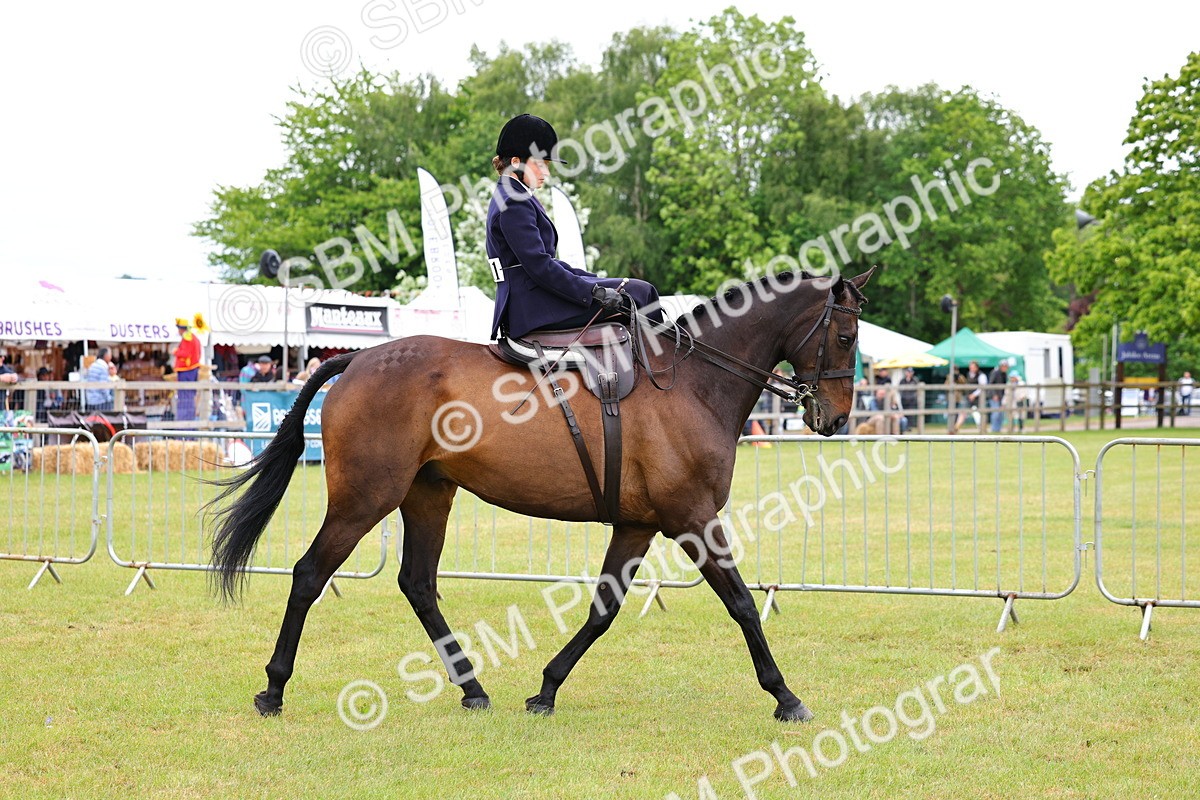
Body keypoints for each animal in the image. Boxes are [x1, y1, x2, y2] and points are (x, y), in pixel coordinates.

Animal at [207, 267, 873, 722]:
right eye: (845, 337)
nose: (836, 418)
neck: (691, 382)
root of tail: (359, 359)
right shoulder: (692, 517)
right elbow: (740, 604)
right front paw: (786, 696)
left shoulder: (639, 525)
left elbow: (603, 609)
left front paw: (547, 689)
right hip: (364, 499)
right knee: (309, 573)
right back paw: (274, 687)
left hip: (428, 495)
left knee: (418, 584)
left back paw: (473, 690)